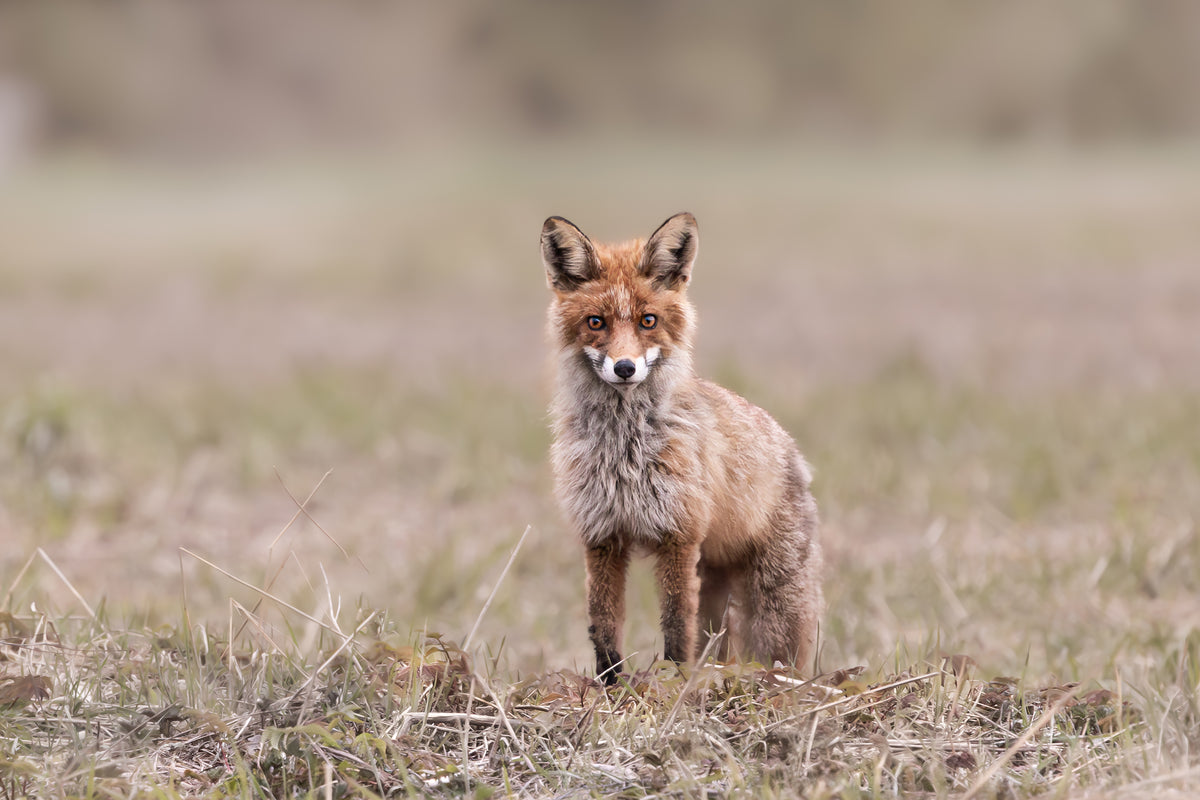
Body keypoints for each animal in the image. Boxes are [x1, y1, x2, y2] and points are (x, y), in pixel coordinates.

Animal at [541, 212, 823, 685]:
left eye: (647, 321)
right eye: (596, 322)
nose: (624, 368)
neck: (625, 453)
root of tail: (790, 445)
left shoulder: (678, 535)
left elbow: (675, 627)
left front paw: (672, 684)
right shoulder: (601, 535)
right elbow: (603, 624)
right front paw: (609, 686)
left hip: (774, 604)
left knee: (778, 653)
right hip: (715, 588)